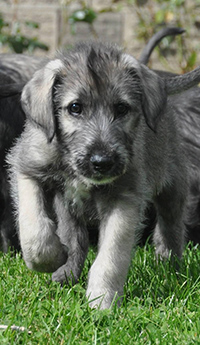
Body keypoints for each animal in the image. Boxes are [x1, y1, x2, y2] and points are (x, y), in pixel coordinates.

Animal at [7, 41, 200, 308]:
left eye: (122, 108)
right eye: (75, 108)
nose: (102, 162)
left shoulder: (123, 199)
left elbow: (110, 257)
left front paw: (102, 301)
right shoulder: (26, 168)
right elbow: (34, 230)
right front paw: (50, 259)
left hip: (172, 186)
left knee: (170, 227)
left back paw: (169, 265)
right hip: (67, 206)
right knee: (75, 237)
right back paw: (66, 272)